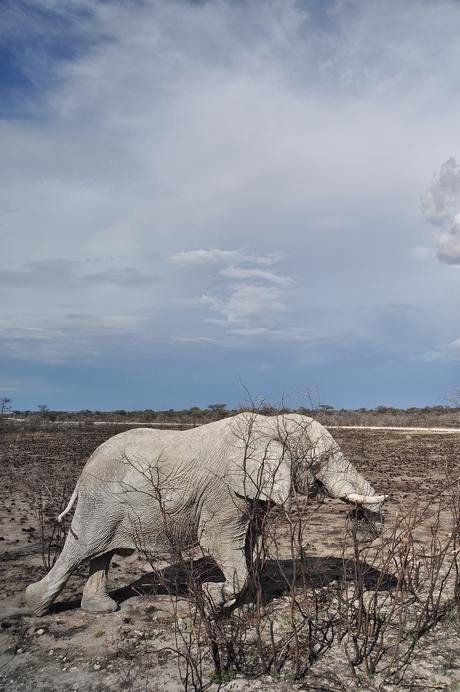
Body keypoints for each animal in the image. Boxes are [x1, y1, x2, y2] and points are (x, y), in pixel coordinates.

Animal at [25, 410, 384, 616]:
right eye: (321, 460)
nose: (360, 522)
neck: (270, 423)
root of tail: (85, 468)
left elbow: (247, 542)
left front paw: (241, 610)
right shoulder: (224, 491)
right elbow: (217, 541)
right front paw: (211, 600)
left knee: (102, 552)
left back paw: (100, 610)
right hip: (100, 501)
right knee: (81, 548)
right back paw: (35, 606)